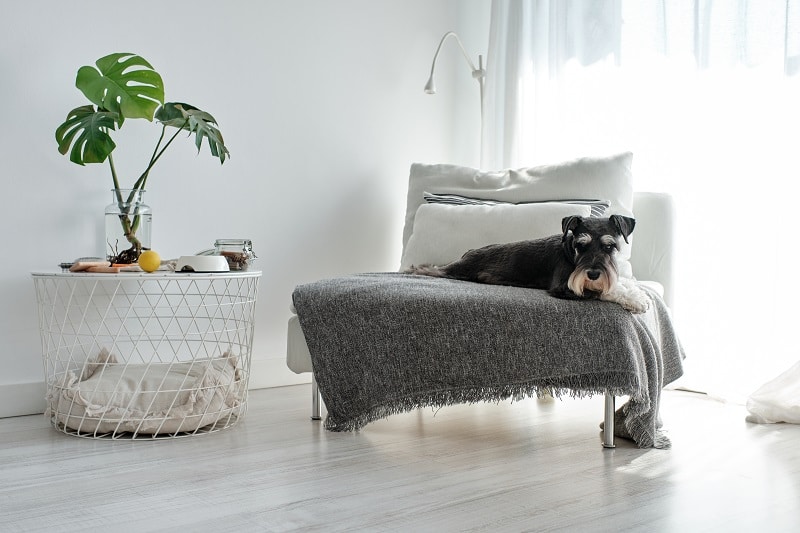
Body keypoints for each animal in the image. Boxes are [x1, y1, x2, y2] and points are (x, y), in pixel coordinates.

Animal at [406, 212, 648, 312]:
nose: (593, 274)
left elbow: (620, 281)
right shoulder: (566, 287)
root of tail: (470, 251)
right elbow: (604, 291)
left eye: (609, 246)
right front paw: (635, 300)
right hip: (455, 269)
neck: (570, 253)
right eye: (582, 245)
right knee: (430, 269)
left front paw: (637, 292)